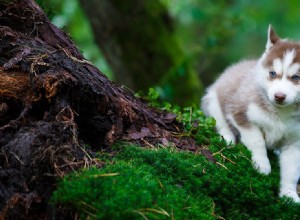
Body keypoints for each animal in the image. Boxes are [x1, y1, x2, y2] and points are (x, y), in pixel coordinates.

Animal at [202, 25, 300, 203]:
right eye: (272, 73)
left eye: (296, 77)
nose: (279, 96)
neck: (280, 113)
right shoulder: (241, 114)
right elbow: (257, 141)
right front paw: (262, 164)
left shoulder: (295, 142)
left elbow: (292, 170)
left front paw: (289, 193)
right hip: (213, 99)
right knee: (219, 120)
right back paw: (227, 137)